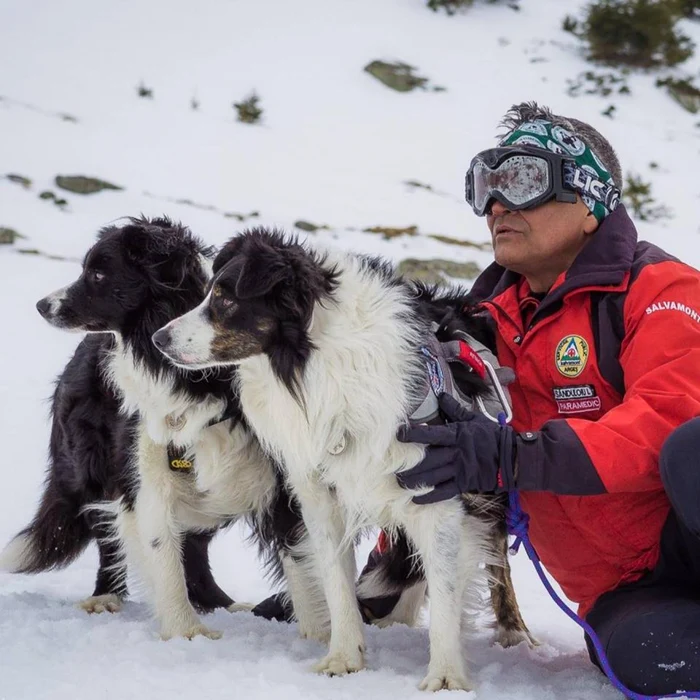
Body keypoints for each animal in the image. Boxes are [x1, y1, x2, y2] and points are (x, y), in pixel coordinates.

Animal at [153, 228, 532, 688]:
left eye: (225, 299)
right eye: (209, 292)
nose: (158, 339)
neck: (319, 365)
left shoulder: (438, 492)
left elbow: (445, 589)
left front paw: (445, 678)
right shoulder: (321, 496)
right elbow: (336, 585)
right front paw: (344, 659)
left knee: (495, 559)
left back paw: (514, 632)